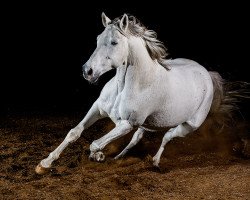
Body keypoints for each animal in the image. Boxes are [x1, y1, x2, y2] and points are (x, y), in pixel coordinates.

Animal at [34, 12, 234, 175]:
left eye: (114, 42)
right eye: (98, 38)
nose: (87, 71)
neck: (124, 87)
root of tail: (206, 73)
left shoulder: (127, 124)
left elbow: (96, 143)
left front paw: (98, 155)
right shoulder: (98, 108)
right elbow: (74, 132)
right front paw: (44, 164)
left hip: (189, 125)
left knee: (167, 136)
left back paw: (155, 162)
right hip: (149, 124)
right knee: (137, 138)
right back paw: (119, 158)